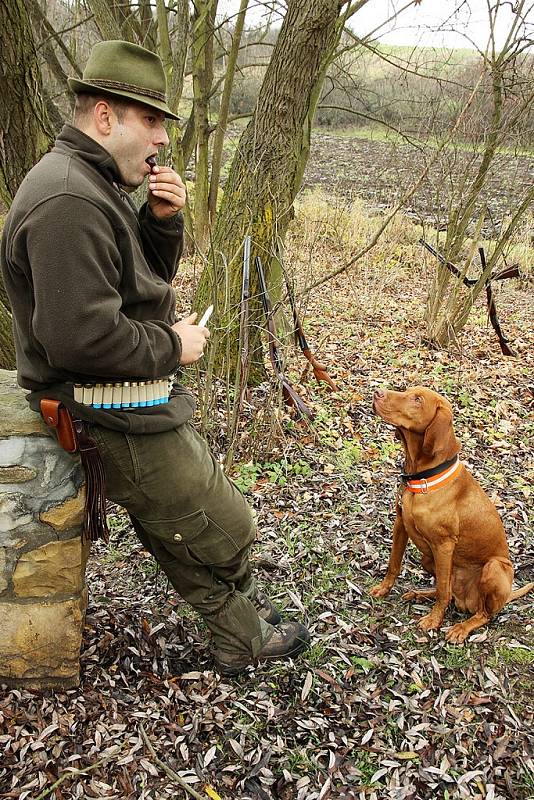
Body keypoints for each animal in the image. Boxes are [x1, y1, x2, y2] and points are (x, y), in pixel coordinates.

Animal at [370, 388, 532, 644]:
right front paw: (383, 589)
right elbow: (393, 564)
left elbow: (443, 592)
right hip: (428, 559)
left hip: (495, 567)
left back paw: (462, 627)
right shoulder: (400, 525)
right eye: (407, 391)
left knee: (482, 613)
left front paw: (434, 621)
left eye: (417, 400)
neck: (423, 477)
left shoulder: (444, 545)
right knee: (448, 592)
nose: (378, 392)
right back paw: (420, 593)